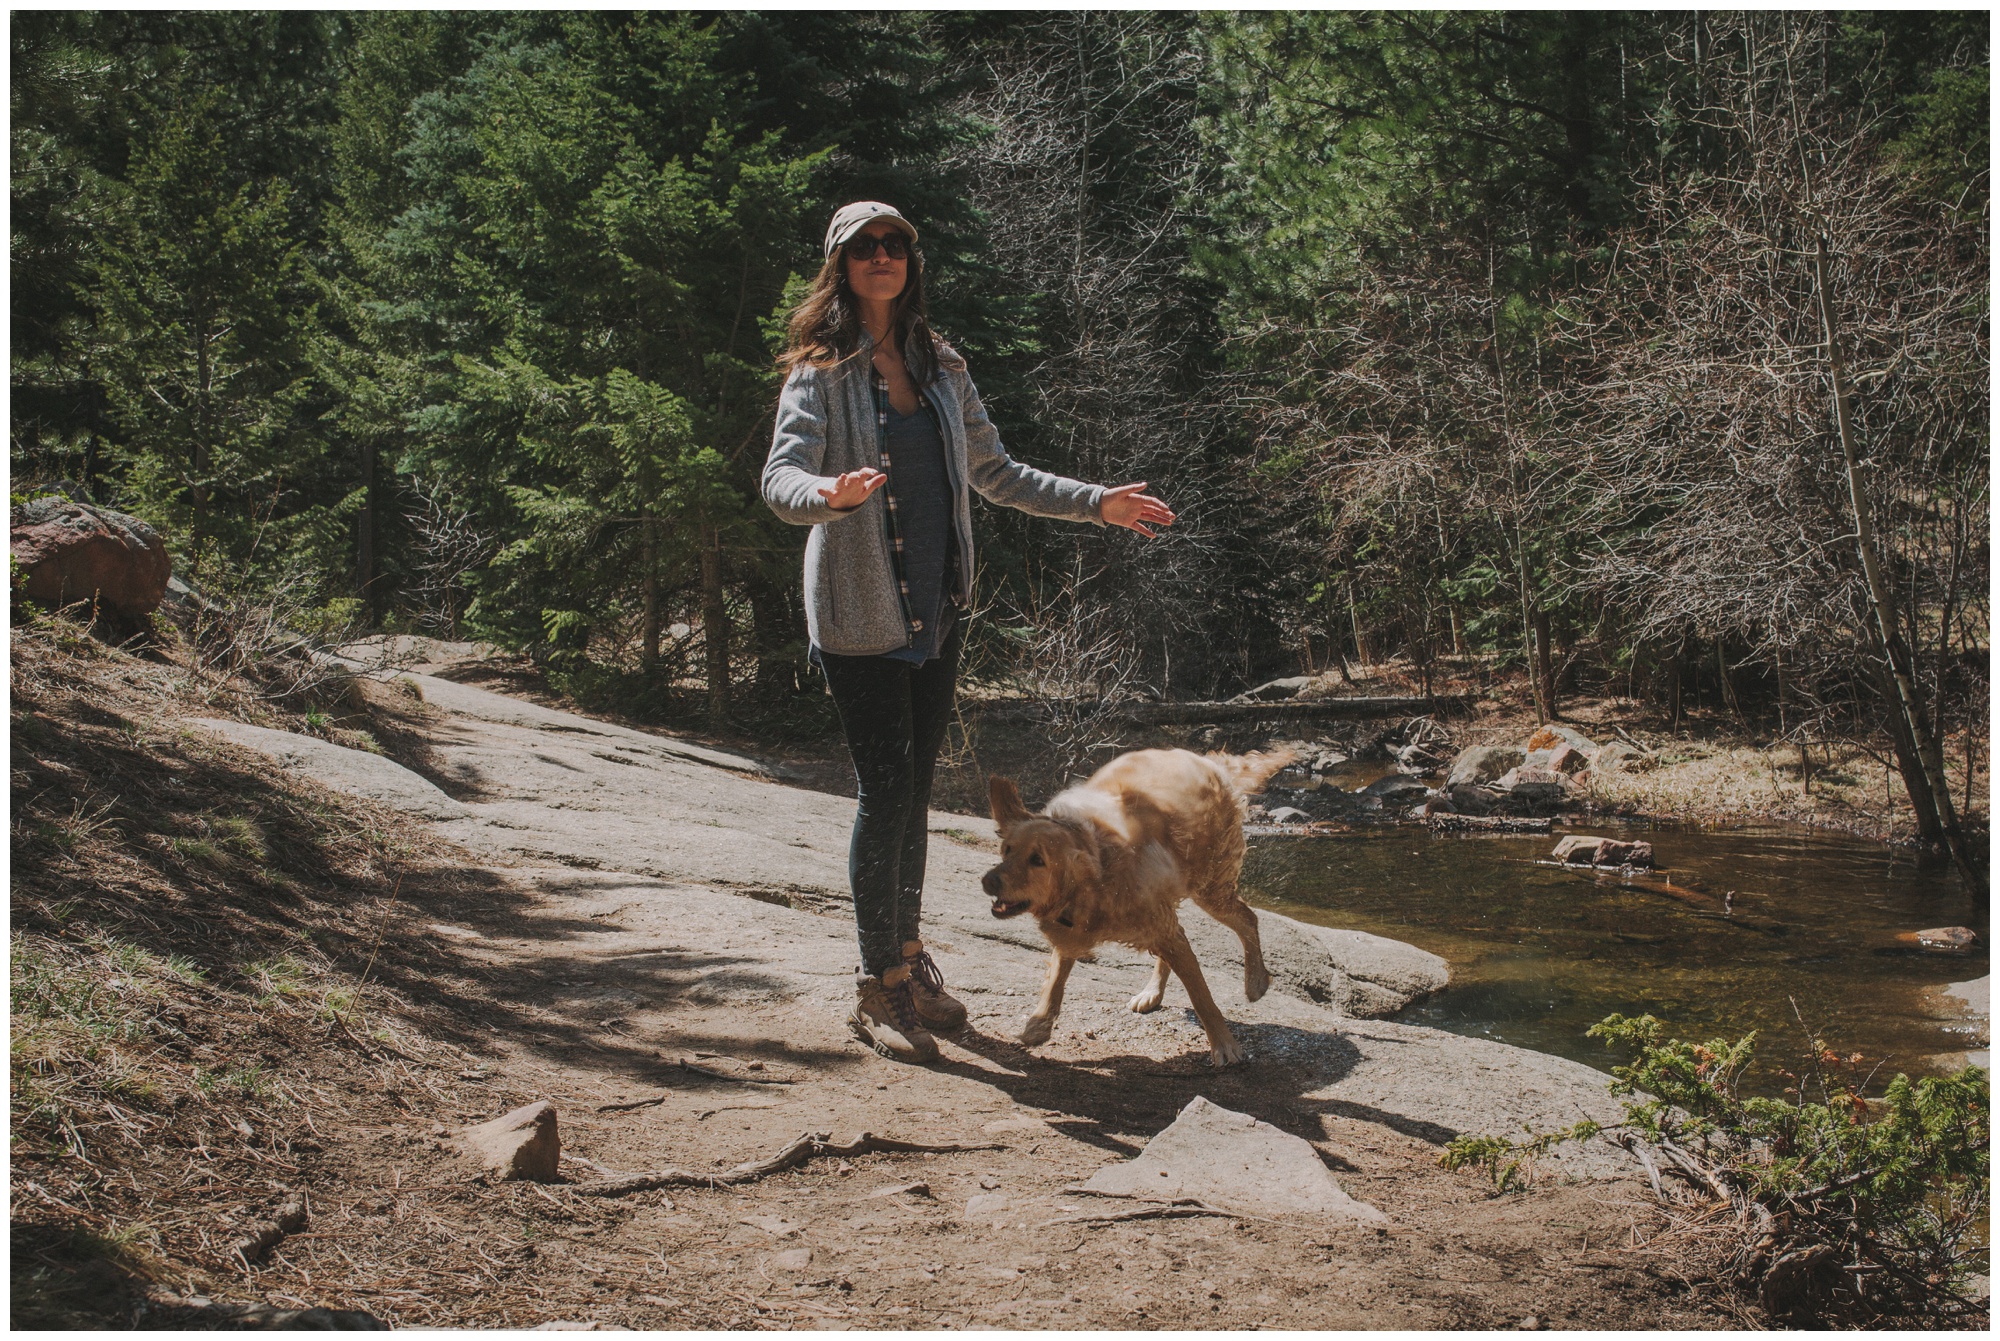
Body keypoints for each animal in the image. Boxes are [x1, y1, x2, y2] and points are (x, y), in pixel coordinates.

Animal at [980, 752, 1296, 1064]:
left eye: (1038, 860)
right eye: (1007, 849)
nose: (988, 880)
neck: (1098, 877)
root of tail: (1208, 762)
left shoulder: (1158, 924)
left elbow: (1201, 995)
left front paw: (1224, 1045)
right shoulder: (1073, 930)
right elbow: (1057, 977)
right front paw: (1039, 1023)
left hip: (1210, 889)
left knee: (1248, 918)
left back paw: (1255, 982)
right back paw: (1152, 993)